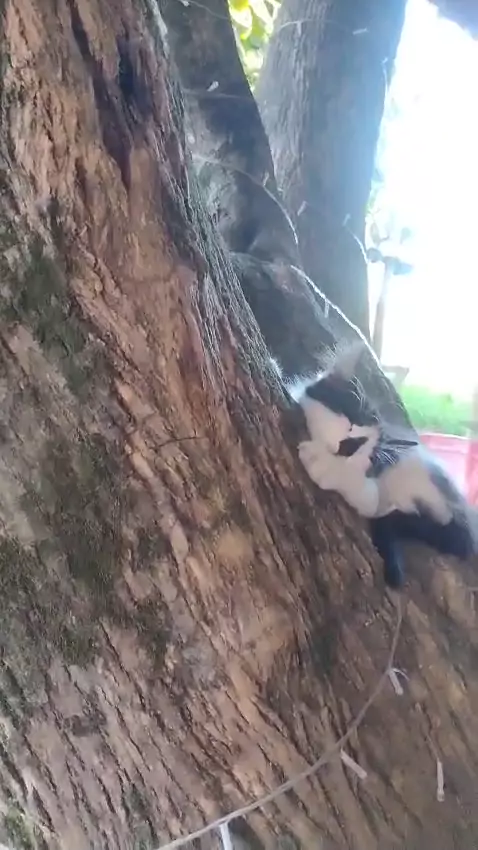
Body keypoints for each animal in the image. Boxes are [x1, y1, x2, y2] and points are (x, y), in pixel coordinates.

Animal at [288, 343, 476, 588]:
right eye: (354, 416)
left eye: (370, 450)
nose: (354, 444)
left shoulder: (376, 492)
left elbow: (367, 495)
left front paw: (327, 466)